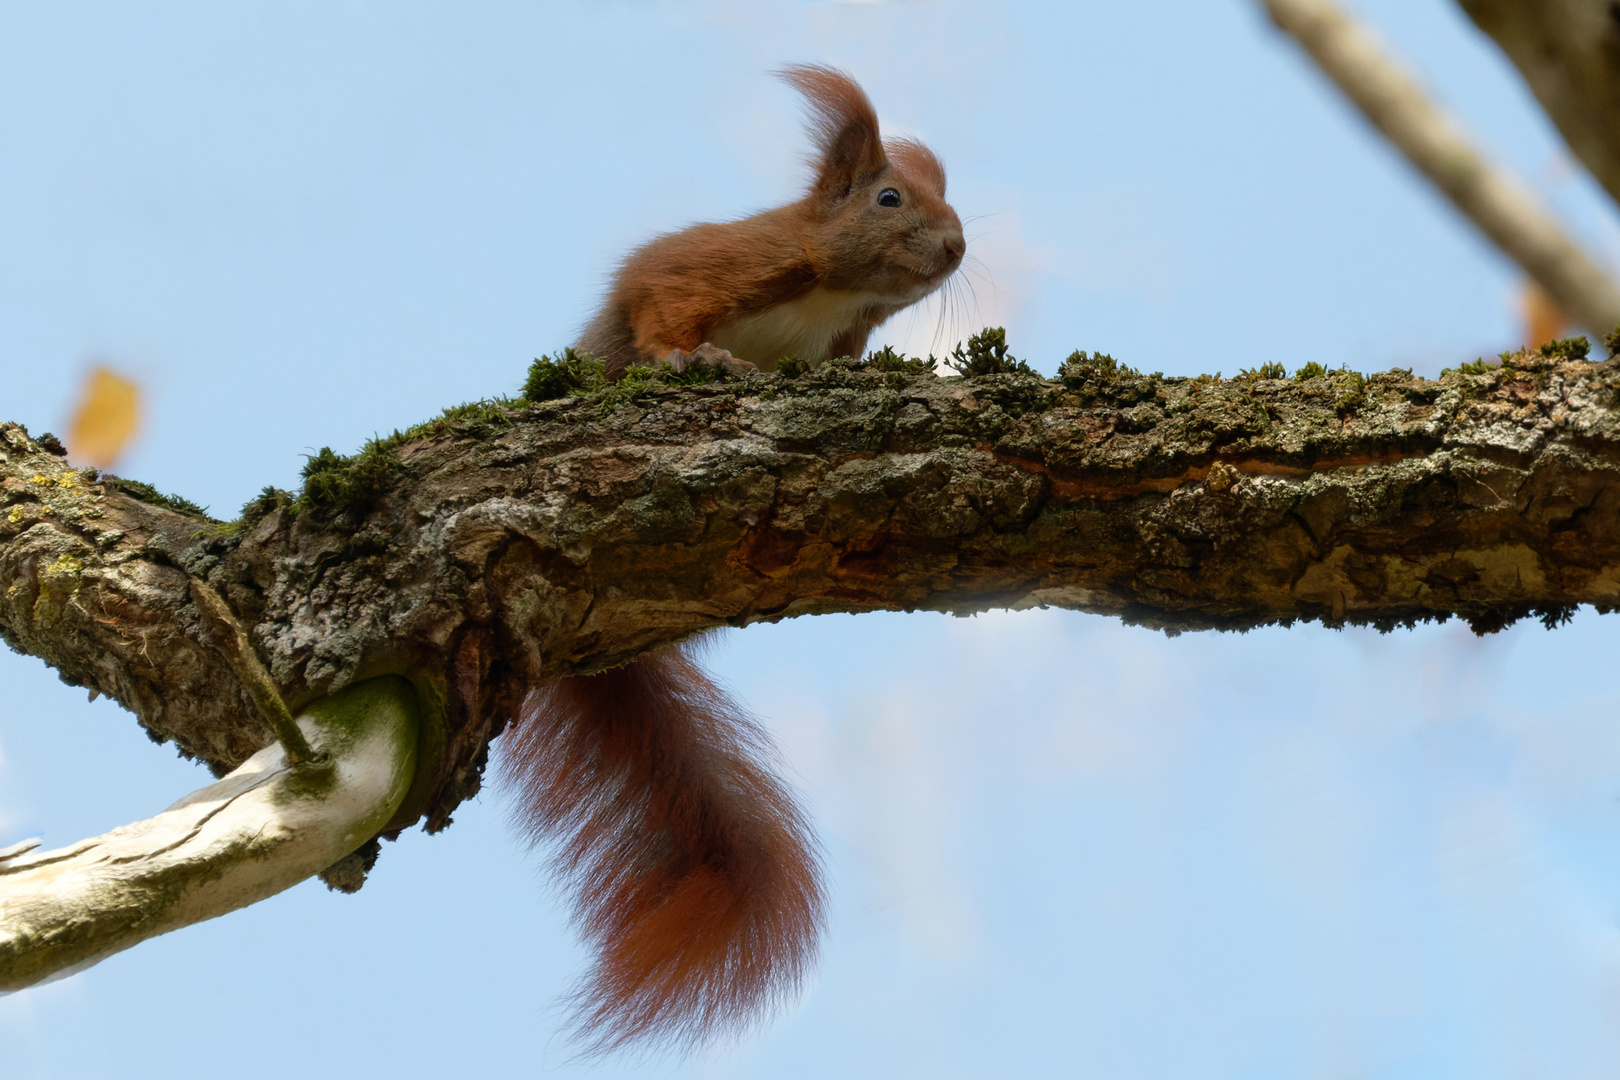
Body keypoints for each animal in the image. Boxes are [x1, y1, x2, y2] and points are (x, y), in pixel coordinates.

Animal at [495, 63, 959, 1049]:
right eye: (891, 198)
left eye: (949, 200)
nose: (956, 245)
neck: (827, 289)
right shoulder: (712, 262)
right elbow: (661, 301)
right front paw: (687, 359)